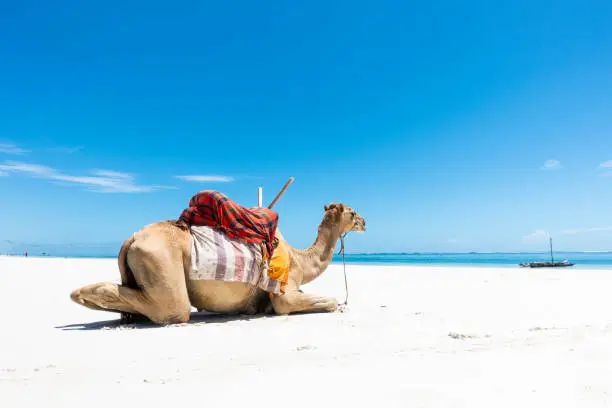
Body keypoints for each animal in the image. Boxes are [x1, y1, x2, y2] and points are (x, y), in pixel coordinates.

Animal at [71, 202, 368, 324]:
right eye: (352, 212)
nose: (365, 222)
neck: (300, 258)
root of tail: (130, 239)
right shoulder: (284, 294)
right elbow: (330, 302)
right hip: (162, 261)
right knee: (173, 310)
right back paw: (83, 294)